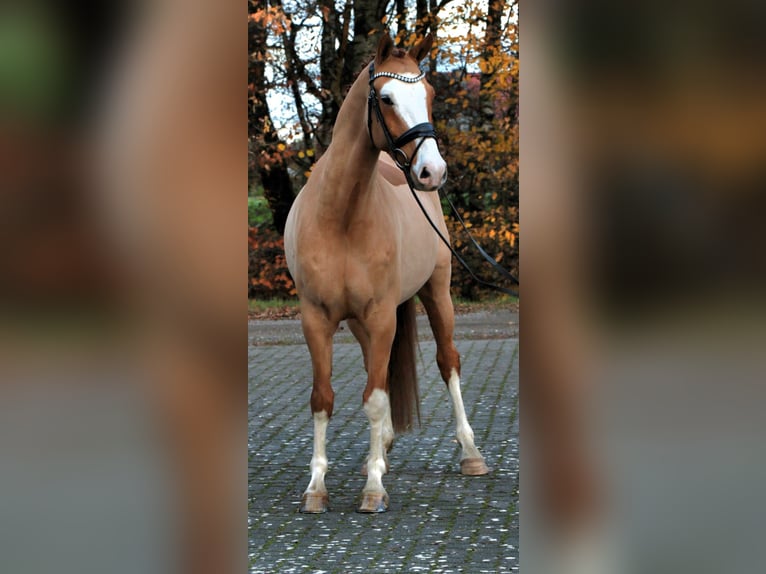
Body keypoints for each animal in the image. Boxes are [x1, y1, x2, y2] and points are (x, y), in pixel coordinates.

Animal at [284, 32, 488, 516]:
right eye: (387, 97)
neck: (340, 215)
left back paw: (470, 454)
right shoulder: (316, 318)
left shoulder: (381, 315)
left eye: (429, 94)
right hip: (363, 323)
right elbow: (324, 398)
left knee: (448, 362)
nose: (432, 172)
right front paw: (316, 487)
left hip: (437, 294)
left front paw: (374, 488)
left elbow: (375, 399)